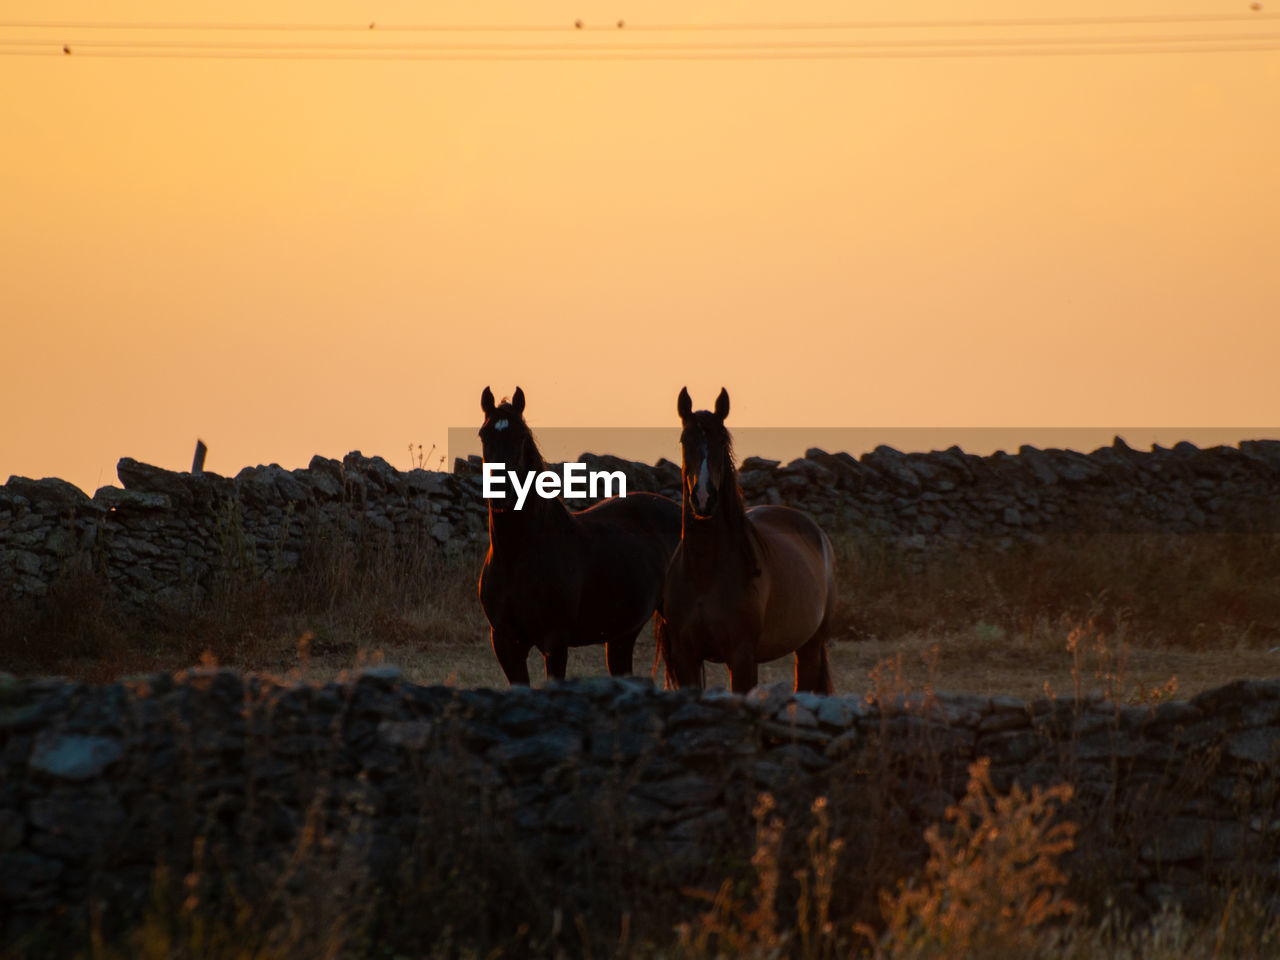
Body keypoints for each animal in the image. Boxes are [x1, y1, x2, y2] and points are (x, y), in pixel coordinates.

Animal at [478, 386, 680, 686]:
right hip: (621, 635)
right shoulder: (505, 644)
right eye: (484, 435)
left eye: (521, 436)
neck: (517, 555)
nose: (501, 491)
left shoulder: (555, 643)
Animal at [660, 386, 839, 696]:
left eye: (722, 441)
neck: (704, 573)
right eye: (685, 440)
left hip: (810, 646)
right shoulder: (686, 658)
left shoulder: (742, 657)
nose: (704, 498)